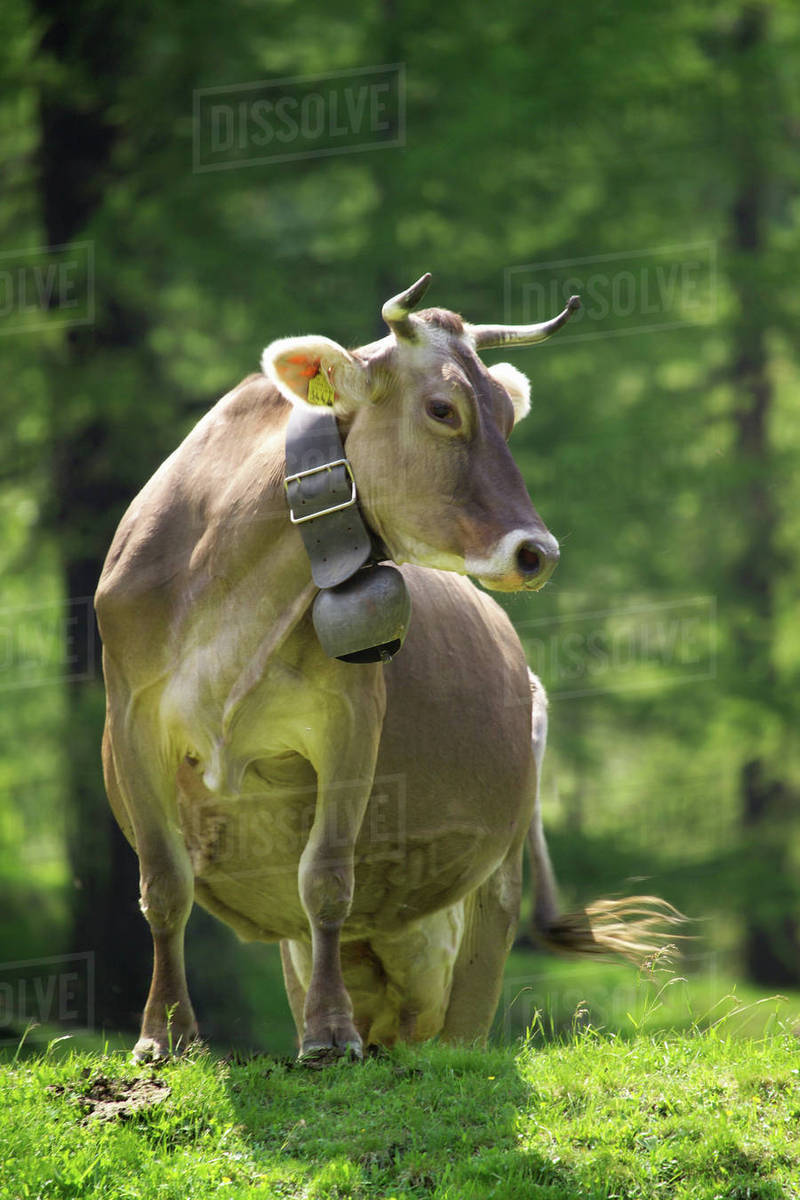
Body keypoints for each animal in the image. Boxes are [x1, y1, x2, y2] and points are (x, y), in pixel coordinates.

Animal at [95, 274, 677, 1062]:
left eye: (507, 417)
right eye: (443, 409)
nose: (538, 553)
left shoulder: (349, 721)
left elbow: (325, 880)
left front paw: (327, 1035)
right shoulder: (134, 718)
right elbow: (164, 885)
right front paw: (165, 1035)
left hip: (493, 888)